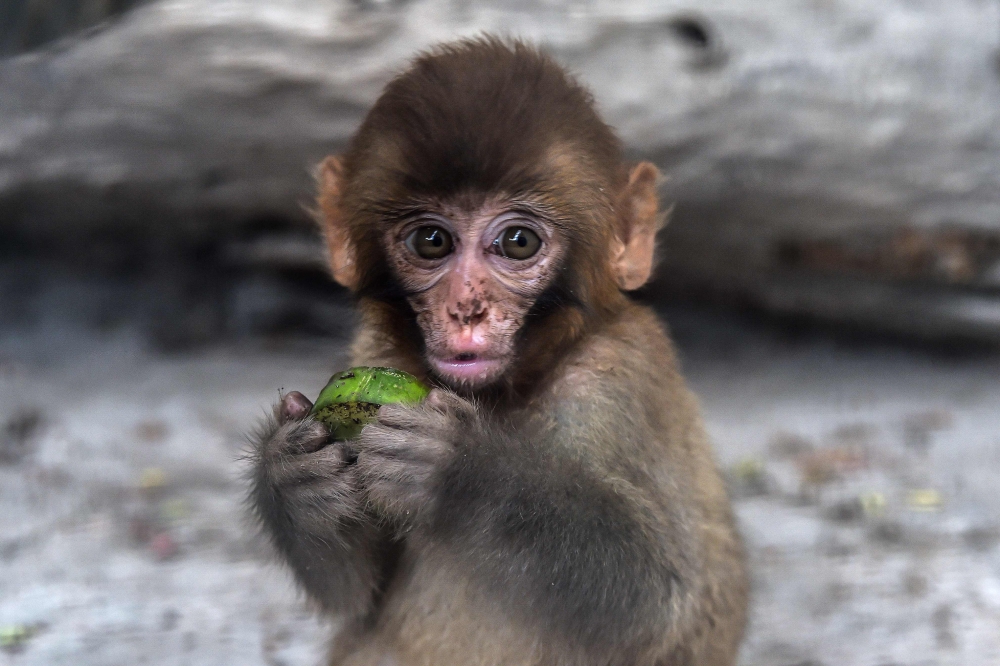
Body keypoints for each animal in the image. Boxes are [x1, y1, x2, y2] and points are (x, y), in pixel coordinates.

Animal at [249, 37, 748, 666]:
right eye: (431, 241)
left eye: (518, 242)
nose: (466, 308)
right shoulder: (378, 347)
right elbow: (357, 590)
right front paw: (291, 476)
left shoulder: (620, 376)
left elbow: (662, 598)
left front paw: (468, 472)